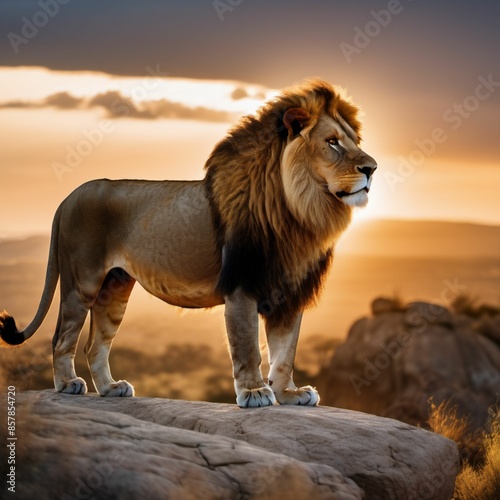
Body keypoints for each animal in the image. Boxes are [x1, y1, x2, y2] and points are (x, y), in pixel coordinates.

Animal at [0, 78, 376, 406]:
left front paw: (288, 394)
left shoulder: (290, 291)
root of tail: (68, 197)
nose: (371, 168)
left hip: (115, 286)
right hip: (83, 282)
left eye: (353, 140)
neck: (300, 210)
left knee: (95, 344)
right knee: (61, 337)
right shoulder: (241, 286)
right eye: (332, 142)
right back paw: (67, 384)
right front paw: (255, 393)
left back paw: (110, 388)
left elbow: (285, 351)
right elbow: (248, 346)